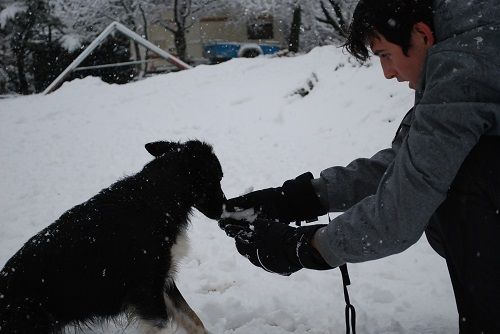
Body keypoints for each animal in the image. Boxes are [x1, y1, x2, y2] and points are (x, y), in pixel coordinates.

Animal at [0, 140, 225, 332]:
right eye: (218, 177)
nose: (224, 209)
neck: (156, 197)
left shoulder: (162, 281)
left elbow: (193, 319)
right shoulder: (147, 292)